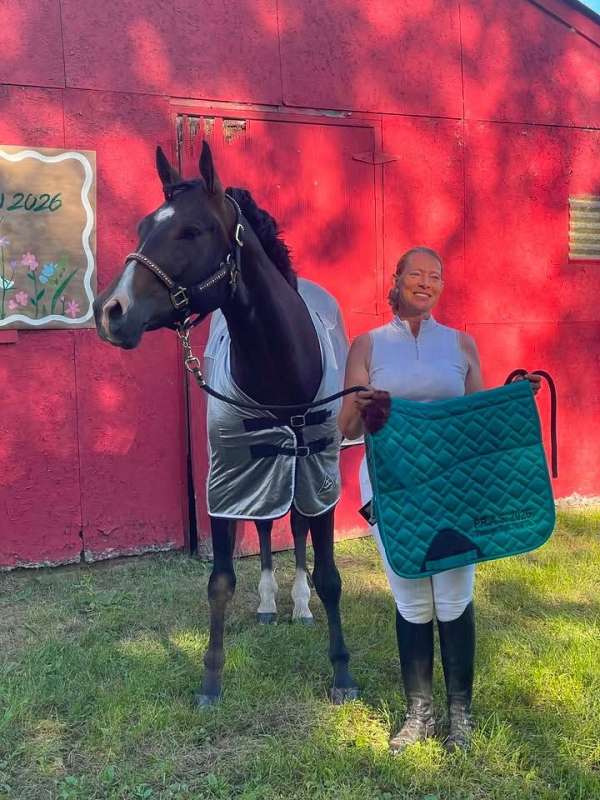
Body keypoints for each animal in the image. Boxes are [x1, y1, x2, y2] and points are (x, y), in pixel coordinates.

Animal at [93, 142, 358, 706]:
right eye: (143, 225)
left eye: (192, 230)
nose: (110, 311)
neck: (283, 370)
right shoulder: (228, 481)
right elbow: (220, 579)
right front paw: (211, 679)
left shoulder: (320, 481)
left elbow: (328, 575)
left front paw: (342, 673)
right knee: (265, 527)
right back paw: (269, 605)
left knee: (294, 527)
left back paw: (298, 606)